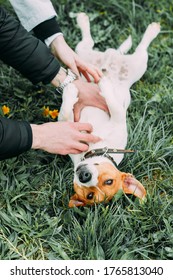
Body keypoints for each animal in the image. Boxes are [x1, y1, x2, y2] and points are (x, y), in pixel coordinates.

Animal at [58, 12, 161, 208]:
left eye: (107, 182)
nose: (84, 176)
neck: (96, 148)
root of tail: (114, 54)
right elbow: (67, 111)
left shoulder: (118, 116)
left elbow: (111, 105)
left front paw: (81, 89)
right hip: (82, 54)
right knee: (87, 41)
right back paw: (83, 21)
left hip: (139, 64)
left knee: (142, 47)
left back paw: (152, 30)